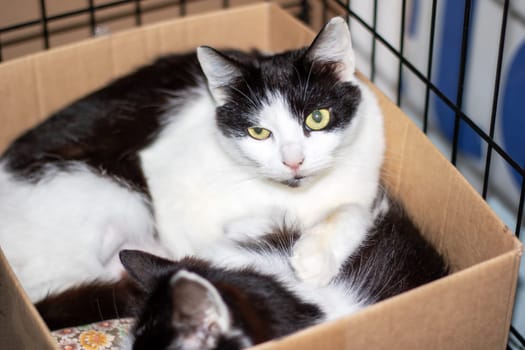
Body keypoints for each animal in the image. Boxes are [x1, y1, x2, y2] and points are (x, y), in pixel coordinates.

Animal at [2, 17, 404, 306]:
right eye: (258, 132)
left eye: (317, 118)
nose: (294, 161)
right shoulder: (167, 182)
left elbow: (356, 208)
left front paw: (314, 255)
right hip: (110, 193)